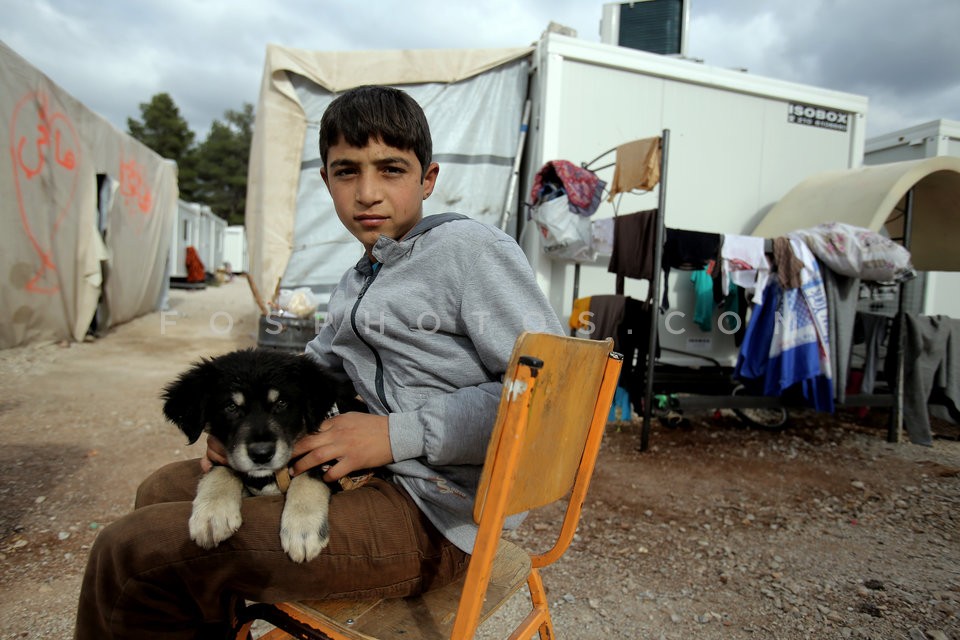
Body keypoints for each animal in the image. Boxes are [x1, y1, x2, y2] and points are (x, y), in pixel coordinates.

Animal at [163, 348, 346, 564]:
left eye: (281, 403)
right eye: (231, 407)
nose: (261, 454)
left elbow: (308, 477)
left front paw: (302, 529)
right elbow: (222, 469)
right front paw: (212, 512)